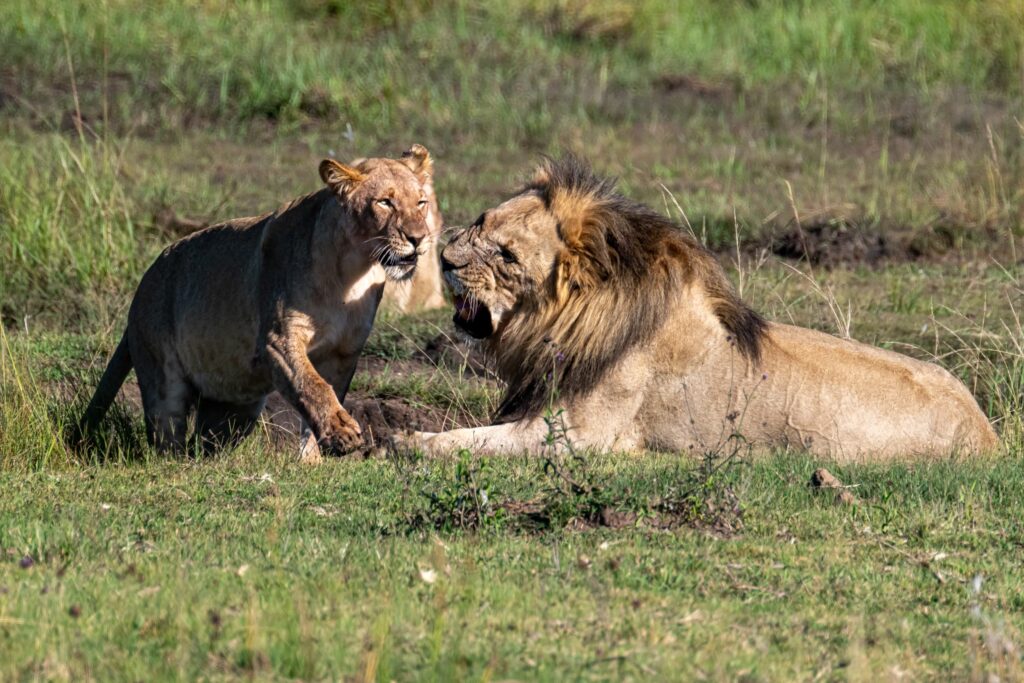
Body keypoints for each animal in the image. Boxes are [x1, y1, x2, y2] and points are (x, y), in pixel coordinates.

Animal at [77, 146, 432, 462]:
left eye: (421, 202)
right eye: (385, 202)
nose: (418, 238)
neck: (353, 270)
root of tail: (142, 285)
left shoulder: (345, 351)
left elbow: (327, 396)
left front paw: (311, 460)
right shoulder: (278, 339)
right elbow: (312, 385)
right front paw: (342, 434)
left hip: (235, 407)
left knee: (202, 443)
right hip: (162, 377)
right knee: (166, 437)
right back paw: (175, 467)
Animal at [399, 157, 999, 462]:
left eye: (506, 255)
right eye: (481, 220)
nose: (444, 260)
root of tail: (988, 434)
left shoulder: (581, 435)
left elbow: (475, 441)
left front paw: (408, 441)